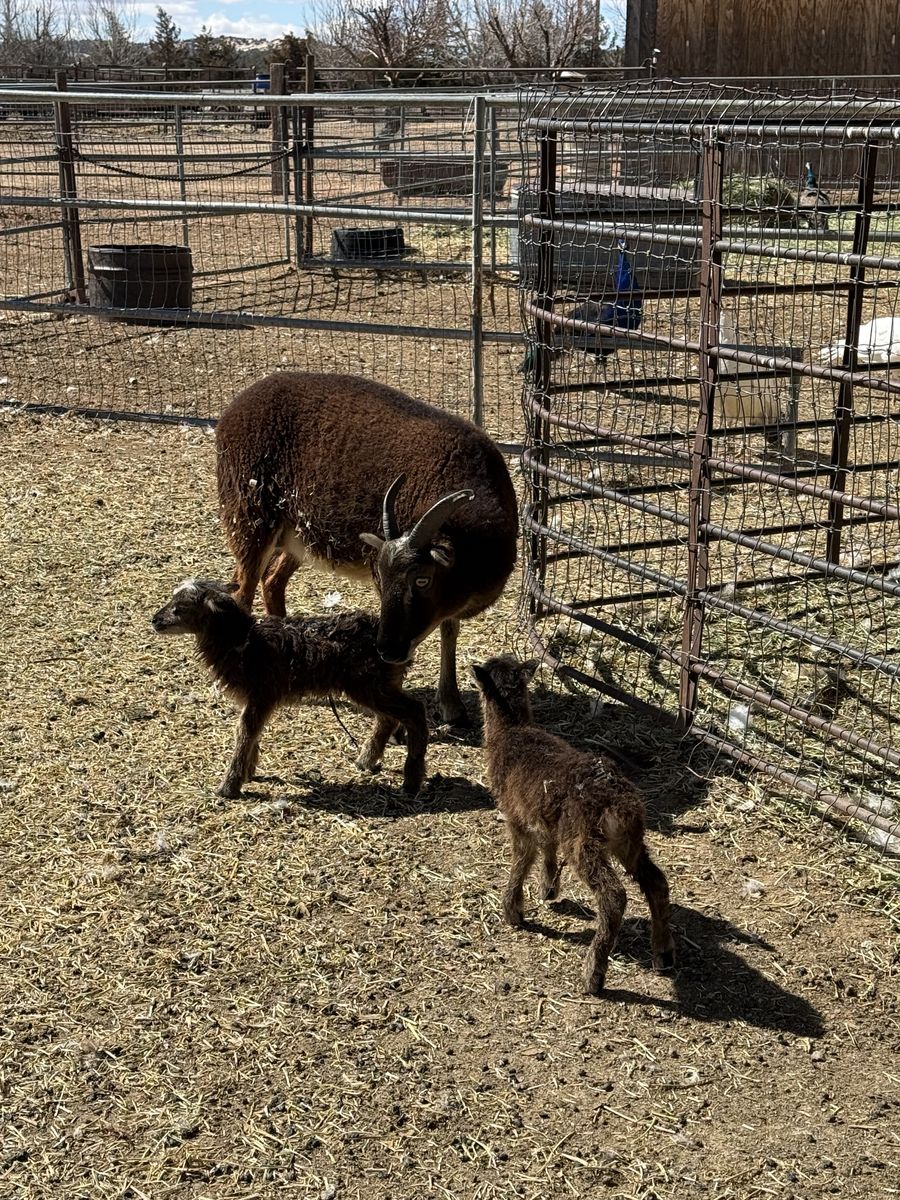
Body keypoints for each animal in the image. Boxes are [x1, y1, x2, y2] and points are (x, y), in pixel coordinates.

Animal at [151, 578, 428, 798]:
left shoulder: (261, 693)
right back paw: (367, 761)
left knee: (414, 710)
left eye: (180, 607)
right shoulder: (253, 698)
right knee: (389, 718)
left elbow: (245, 732)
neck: (243, 642)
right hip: (378, 684)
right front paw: (249, 772)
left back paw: (411, 781)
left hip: (367, 684)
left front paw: (229, 786)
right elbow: (253, 732)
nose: (154, 620)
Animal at [215, 371, 519, 726]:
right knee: (245, 589)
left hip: (299, 536)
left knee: (272, 582)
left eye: (423, 579)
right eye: (383, 580)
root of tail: (234, 407)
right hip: (250, 514)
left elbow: (449, 631)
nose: (386, 649)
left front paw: (451, 705)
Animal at [471, 655, 675, 996]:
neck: (511, 732)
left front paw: (512, 911)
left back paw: (593, 975)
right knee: (657, 882)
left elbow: (522, 859)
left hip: (584, 842)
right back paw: (662, 954)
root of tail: (619, 804)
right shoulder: (545, 818)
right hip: (629, 840)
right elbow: (547, 847)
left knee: (613, 896)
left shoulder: (515, 815)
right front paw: (548, 888)